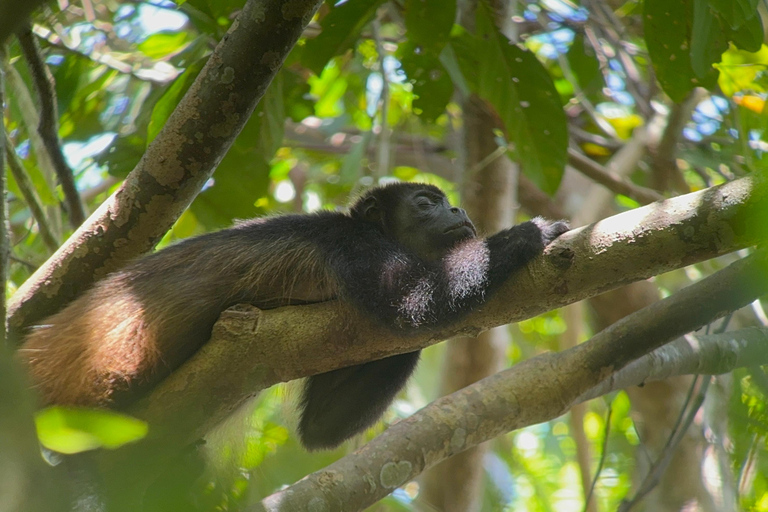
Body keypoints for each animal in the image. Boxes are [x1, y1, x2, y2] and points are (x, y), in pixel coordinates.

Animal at [19, 182, 568, 450]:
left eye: (447, 202)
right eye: (425, 203)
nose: (457, 209)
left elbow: (323, 427)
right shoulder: (350, 245)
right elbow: (413, 302)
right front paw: (525, 234)